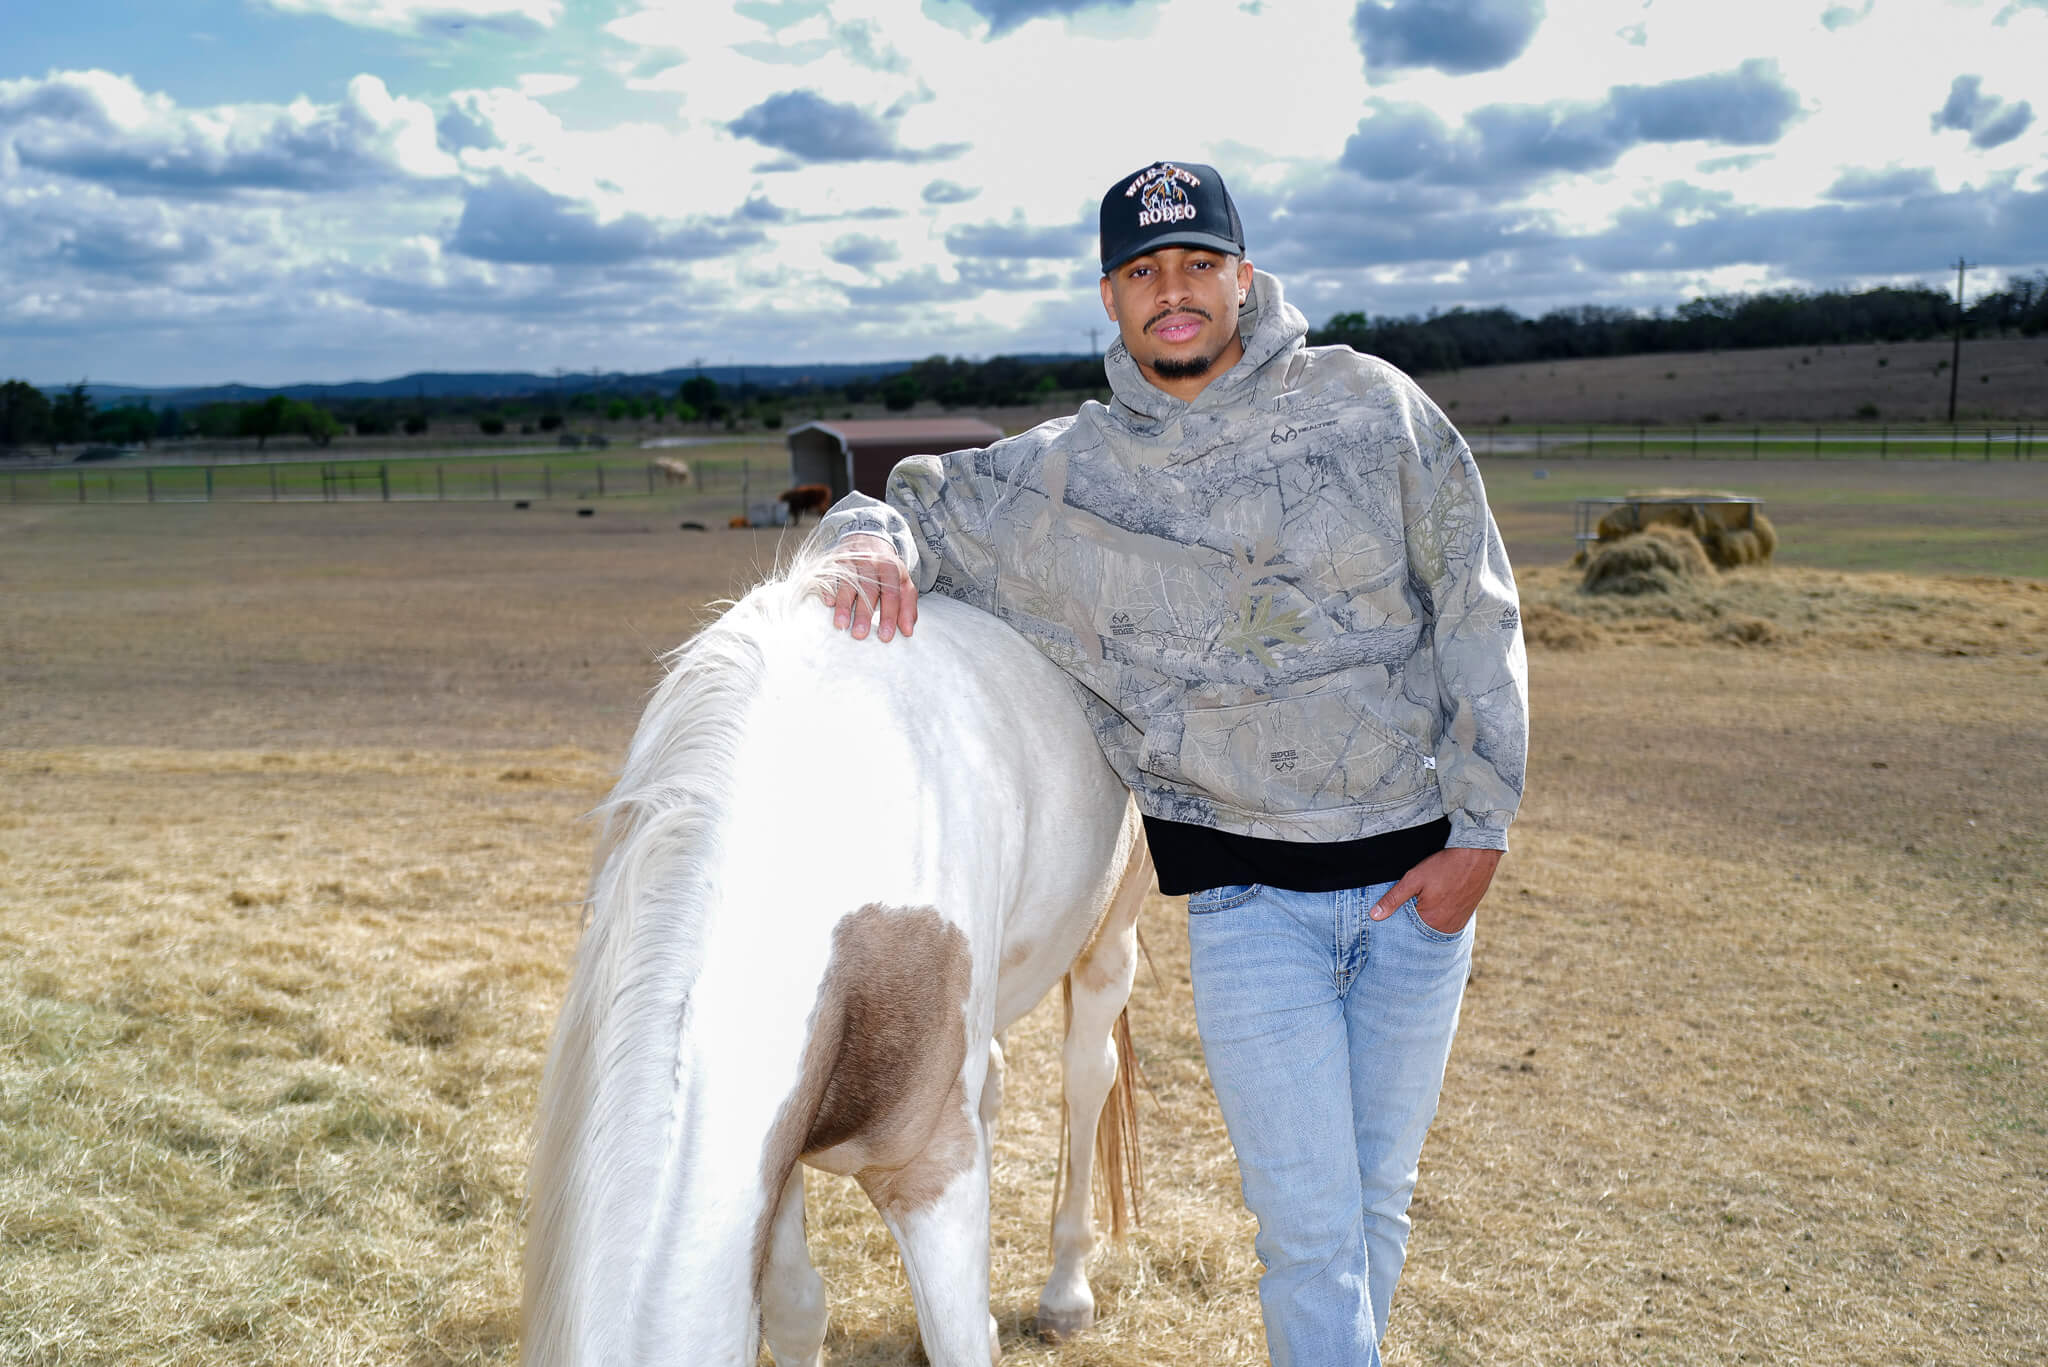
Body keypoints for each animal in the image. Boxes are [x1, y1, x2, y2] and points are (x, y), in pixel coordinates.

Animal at [523, 533, 1152, 1366]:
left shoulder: (930, 1174)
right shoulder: (776, 1149)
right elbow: (795, 1309)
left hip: (1110, 937)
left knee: (1087, 1077)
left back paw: (1067, 1291)